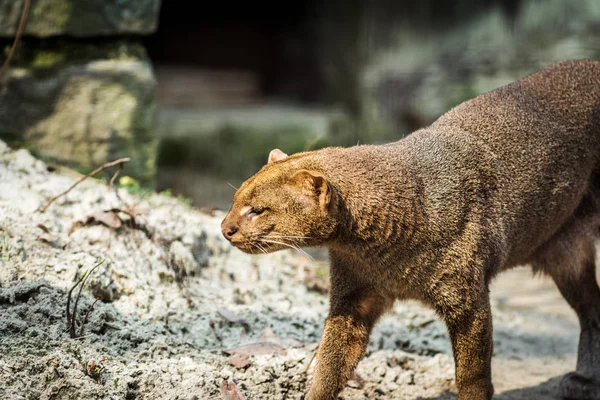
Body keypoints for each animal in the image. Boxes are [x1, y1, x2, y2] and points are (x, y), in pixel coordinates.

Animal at [220, 59, 600, 400]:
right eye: (235, 200)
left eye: (257, 210)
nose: (224, 228)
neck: (379, 250)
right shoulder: (352, 299)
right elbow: (329, 366)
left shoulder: (467, 301)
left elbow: (472, 376)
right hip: (567, 255)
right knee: (591, 310)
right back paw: (583, 380)